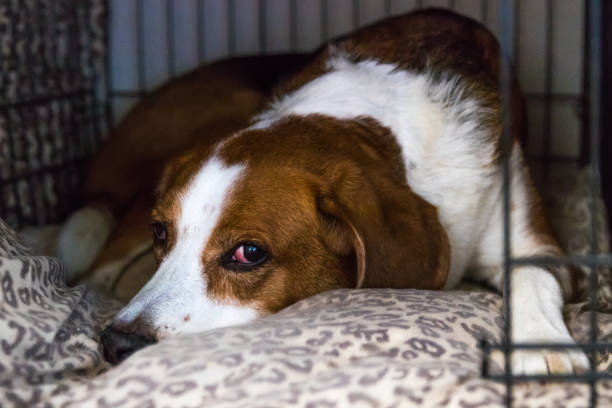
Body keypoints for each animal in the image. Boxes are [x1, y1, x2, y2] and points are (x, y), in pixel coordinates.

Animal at [57, 8, 588, 372]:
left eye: (248, 253)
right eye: (162, 234)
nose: (117, 344)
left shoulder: (528, 230)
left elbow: (533, 274)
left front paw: (542, 345)